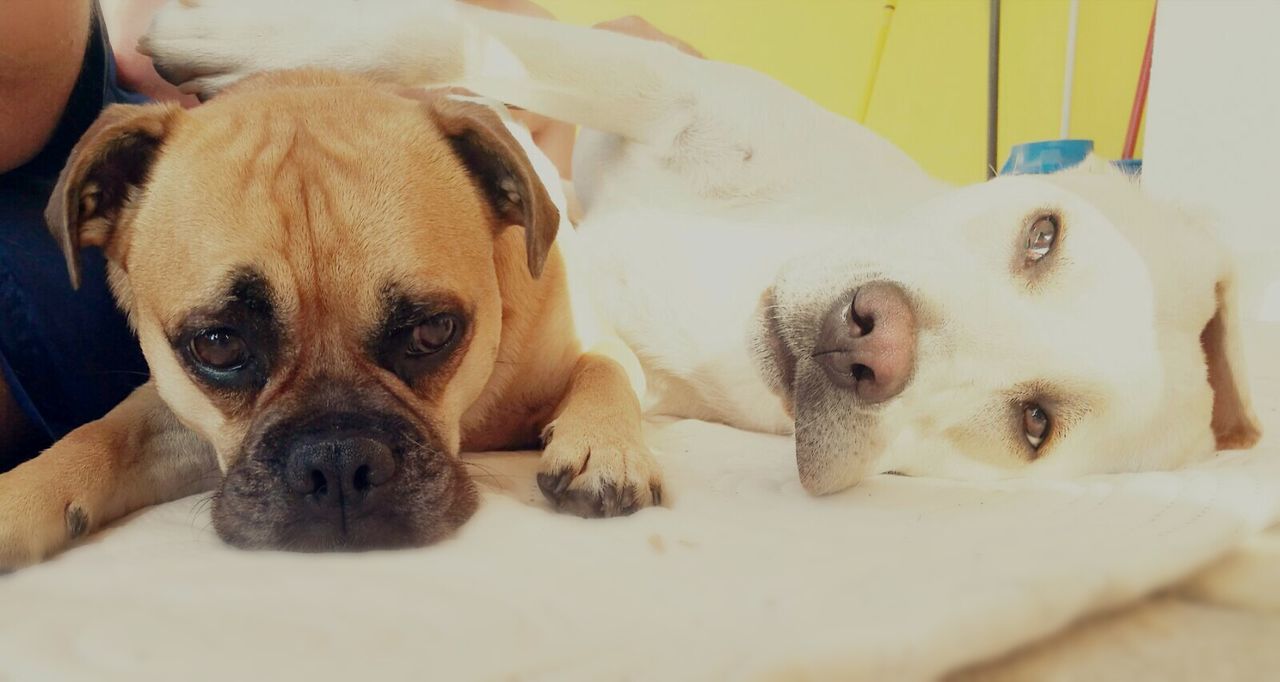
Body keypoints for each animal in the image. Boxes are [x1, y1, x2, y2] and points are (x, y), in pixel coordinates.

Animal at [0, 70, 660, 568]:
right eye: (217, 345)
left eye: (432, 331)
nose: (338, 461)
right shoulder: (176, 418)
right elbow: (105, 433)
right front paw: (25, 493)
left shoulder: (600, 346)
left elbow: (604, 368)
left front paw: (603, 447)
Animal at [142, 1, 1259, 493]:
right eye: (1042, 234)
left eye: (1034, 424)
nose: (873, 337)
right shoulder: (657, 83)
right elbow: (431, 37)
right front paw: (219, 38)